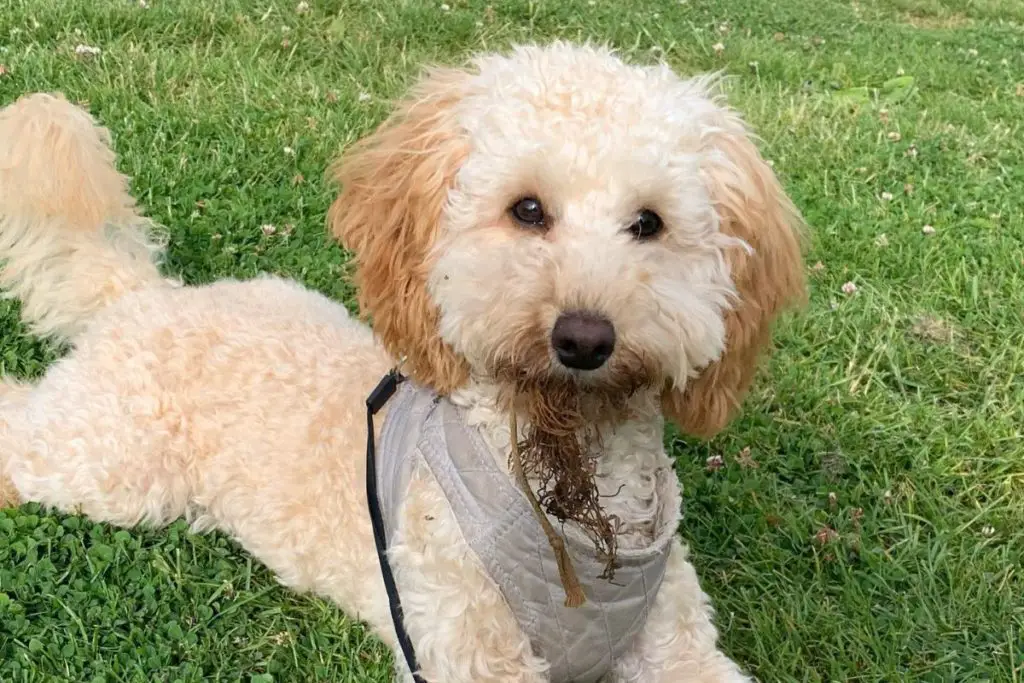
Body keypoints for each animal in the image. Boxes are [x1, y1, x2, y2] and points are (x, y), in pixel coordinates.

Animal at [2, 44, 806, 683]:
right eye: (527, 210)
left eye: (649, 223)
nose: (583, 338)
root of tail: (145, 294)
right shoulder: (469, 646)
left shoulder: (678, 644)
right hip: (114, 463)